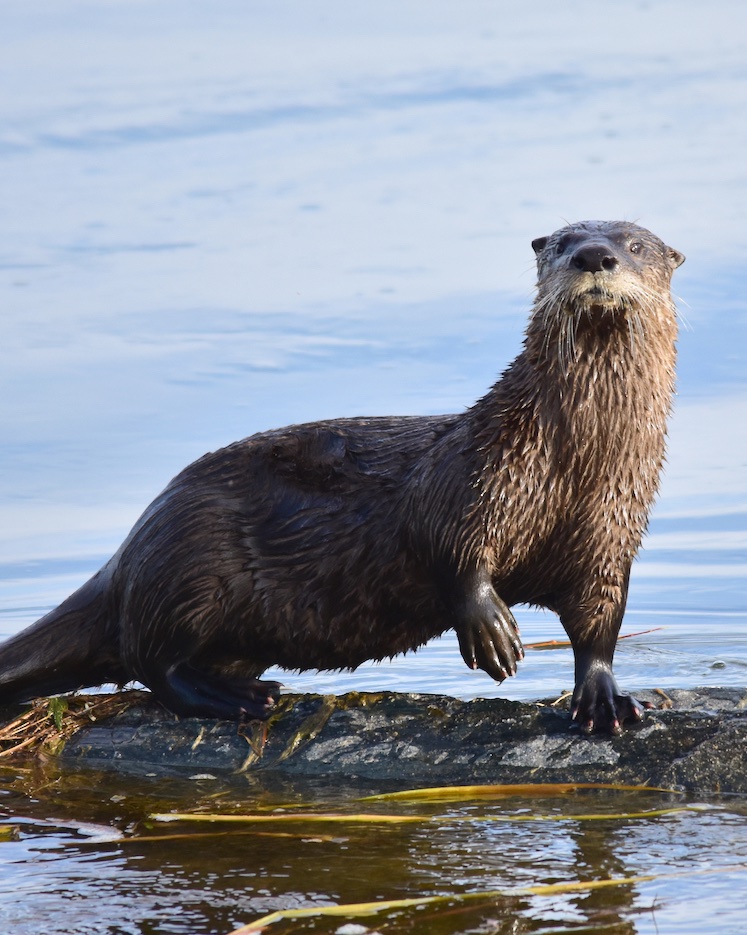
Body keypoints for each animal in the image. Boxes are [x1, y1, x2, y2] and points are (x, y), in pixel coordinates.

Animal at [0, 221, 684, 734]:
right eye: (564, 241)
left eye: (636, 244)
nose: (594, 256)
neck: (572, 465)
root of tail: (127, 553)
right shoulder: (475, 475)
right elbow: (450, 547)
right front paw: (493, 631)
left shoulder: (610, 531)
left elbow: (600, 621)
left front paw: (604, 696)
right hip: (192, 563)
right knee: (153, 662)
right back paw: (236, 699)